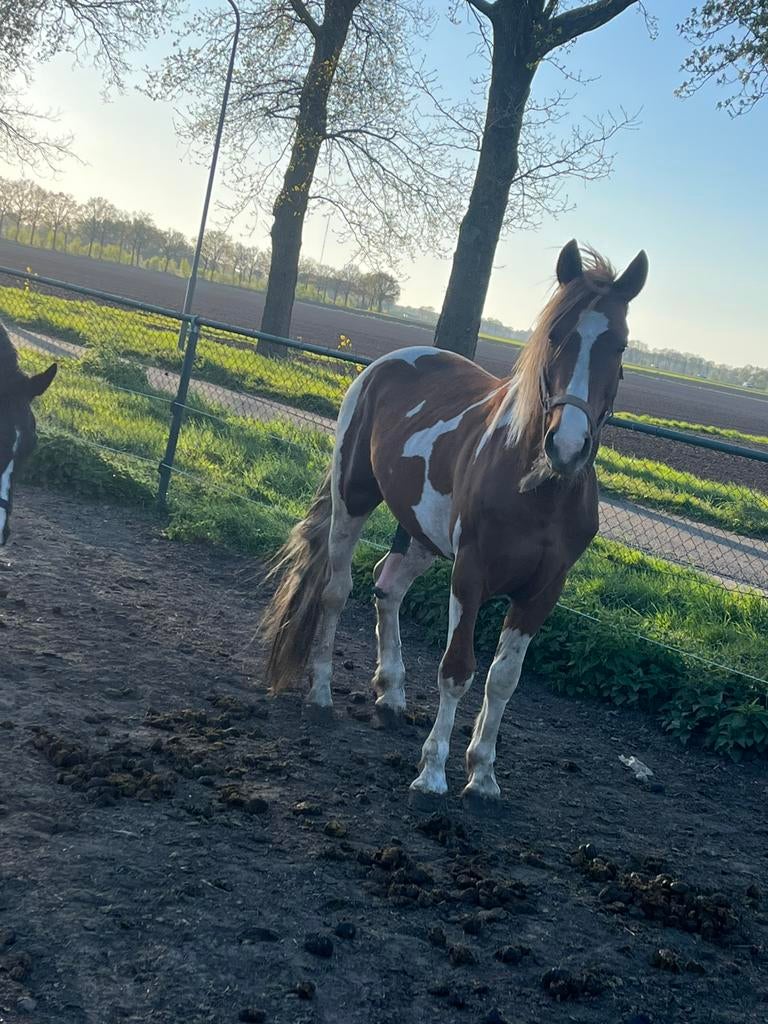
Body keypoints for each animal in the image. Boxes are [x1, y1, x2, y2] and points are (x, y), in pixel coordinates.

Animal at [261, 240, 648, 806]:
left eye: (619, 345)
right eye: (556, 335)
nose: (567, 445)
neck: (537, 486)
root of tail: (382, 366)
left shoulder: (543, 590)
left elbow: (503, 680)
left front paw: (483, 774)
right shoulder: (471, 573)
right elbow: (457, 670)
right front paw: (434, 771)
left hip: (423, 534)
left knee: (387, 585)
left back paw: (391, 693)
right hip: (352, 501)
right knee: (336, 590)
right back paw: (322, 692)